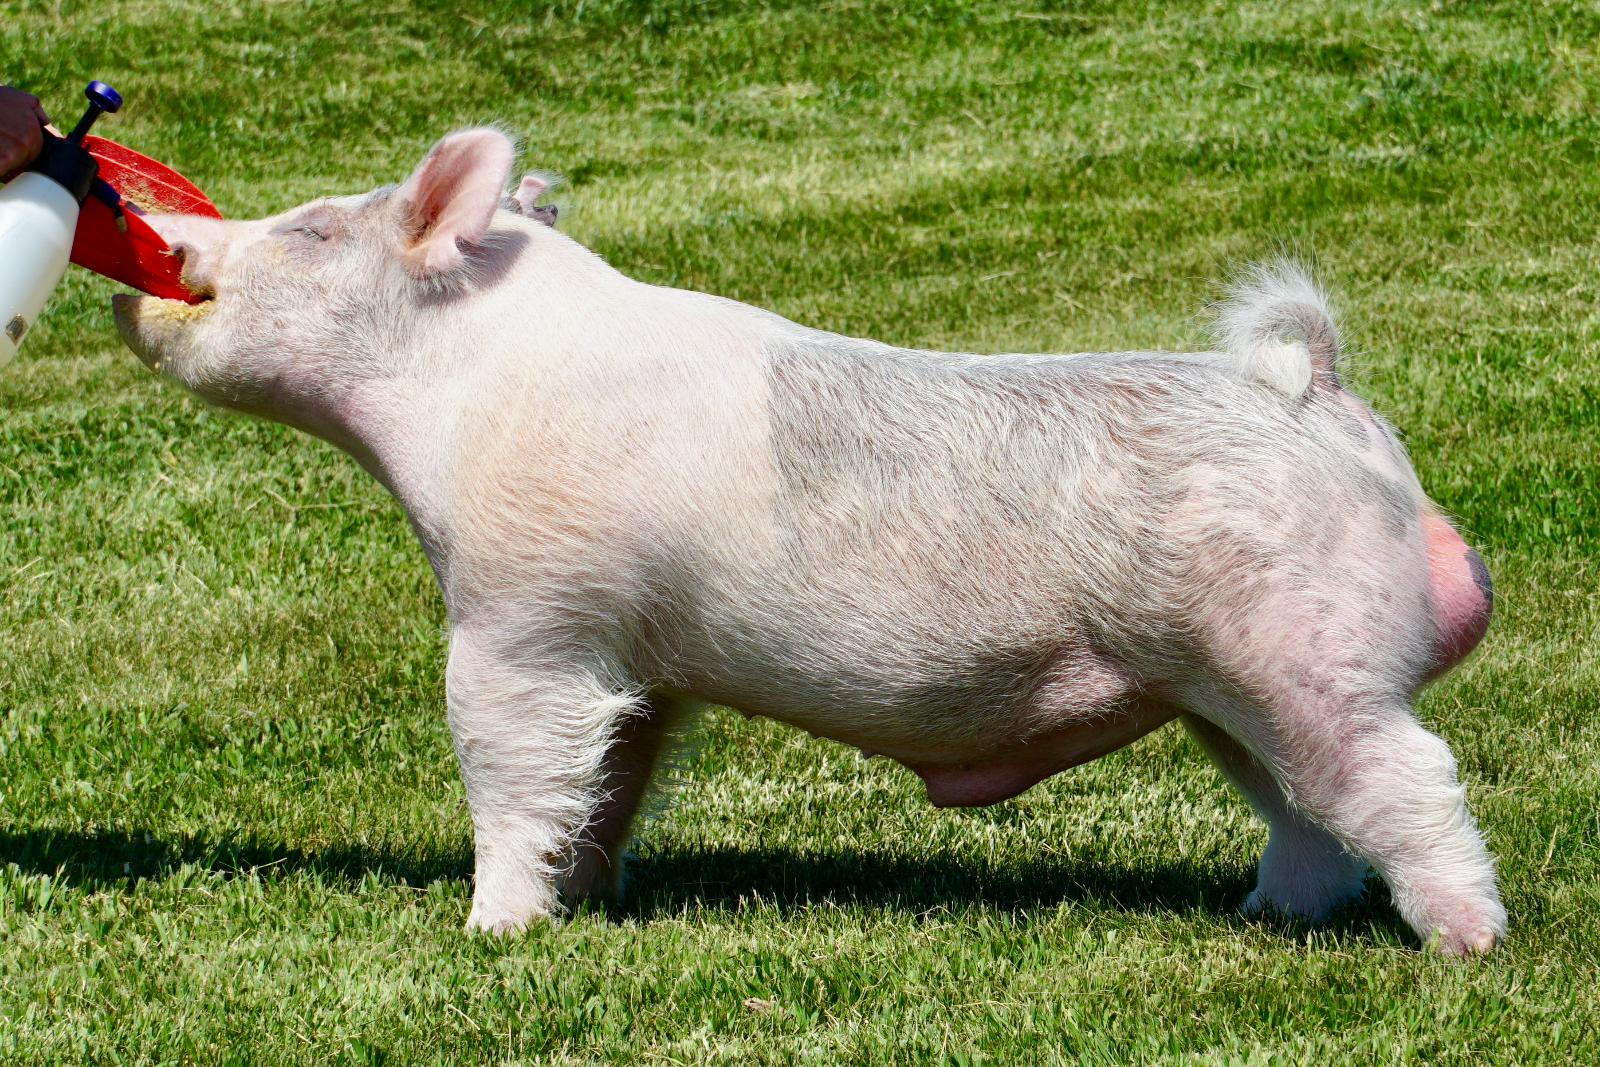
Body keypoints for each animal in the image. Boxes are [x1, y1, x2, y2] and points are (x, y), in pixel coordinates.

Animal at [112, 128, 1502, 954]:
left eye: (310, 229)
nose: (168, 241)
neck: (462, 398)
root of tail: (1320, 396)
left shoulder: (520, 612)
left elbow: (509, 769)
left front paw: (492, 934)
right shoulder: (638, 662)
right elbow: (608, 779)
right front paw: (586, 898)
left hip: (1305, 656)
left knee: (1408, 776)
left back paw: (1465, 945)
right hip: (1220, 686)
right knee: (1307, 817)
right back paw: (1262, 912)